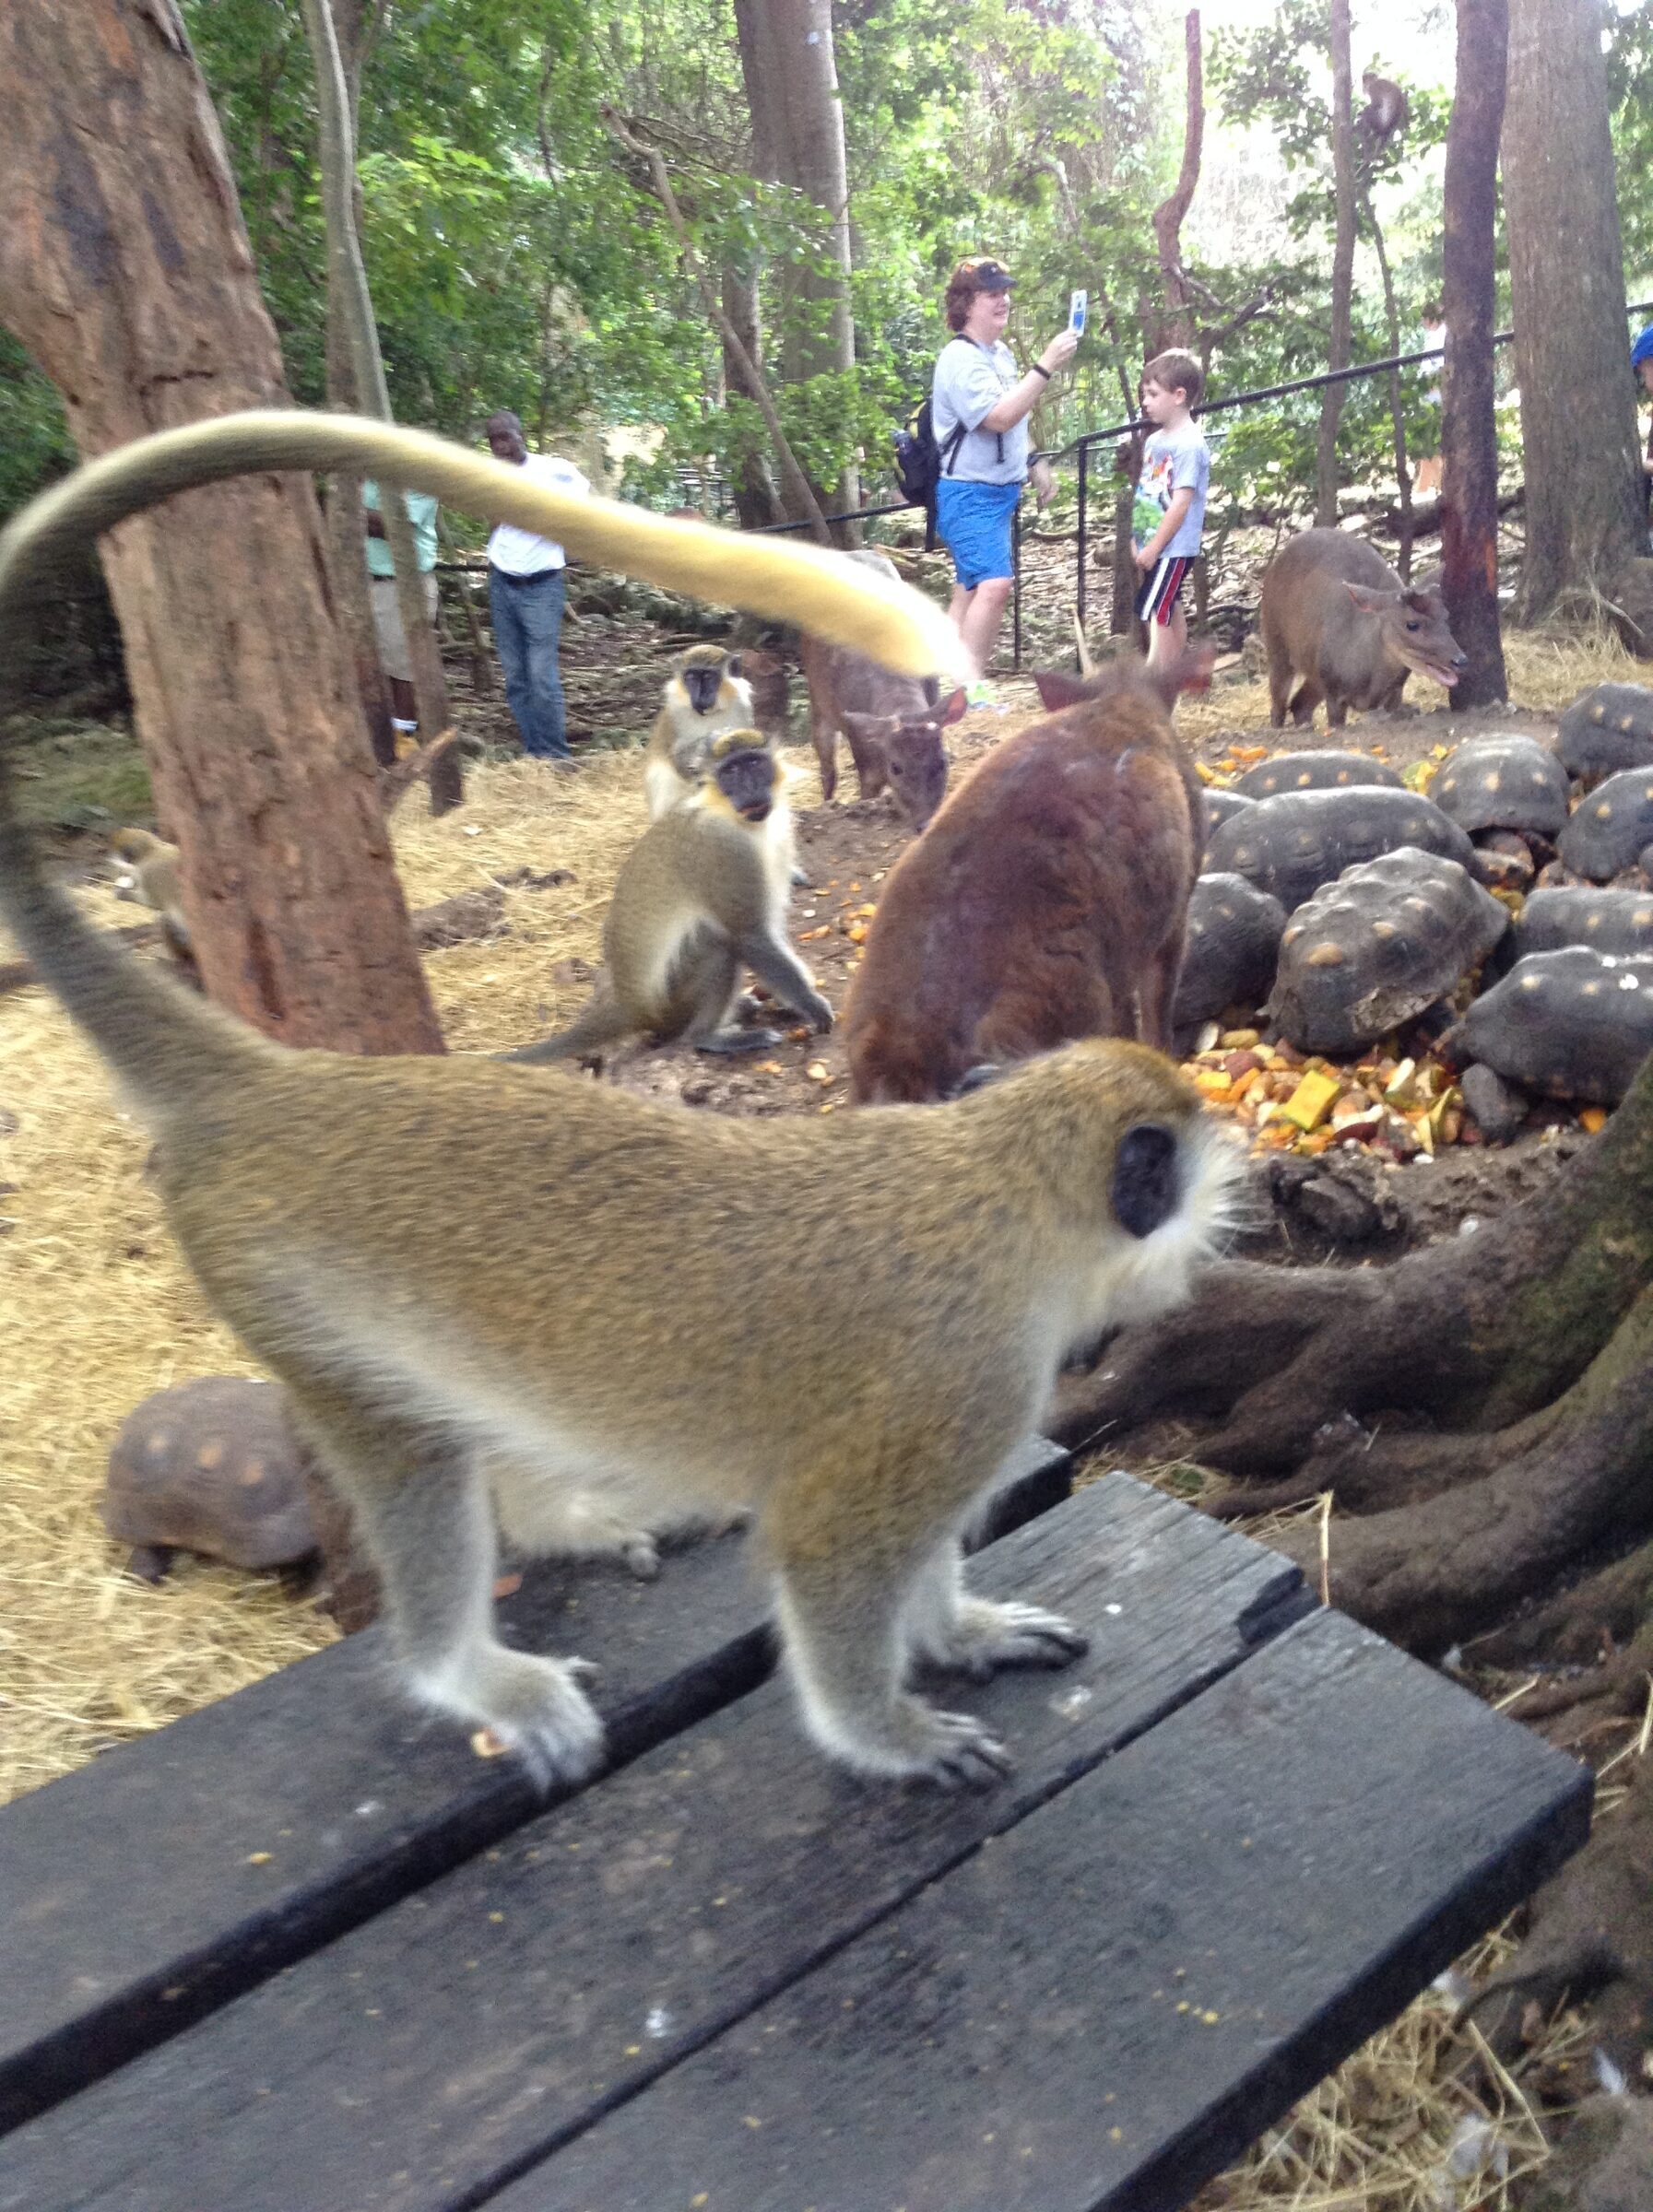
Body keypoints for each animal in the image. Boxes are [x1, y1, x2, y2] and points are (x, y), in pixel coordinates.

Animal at [506, 730, 831, 1061]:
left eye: (753, 763)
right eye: (731, 771)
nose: (749, 788)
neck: (727, 813)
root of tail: (630, 1006)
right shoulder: (725, 851)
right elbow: (750, 936)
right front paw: (811, 1005)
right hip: (670, 1005)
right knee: (719, 944)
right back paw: (708, 1037)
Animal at [643, 645, 756, 820]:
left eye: (709, 677)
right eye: (691, 678)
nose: (699, 697)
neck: (711, 713)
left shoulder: (743, 707)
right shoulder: (675, 713)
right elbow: (678, 759)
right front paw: (710, 741)